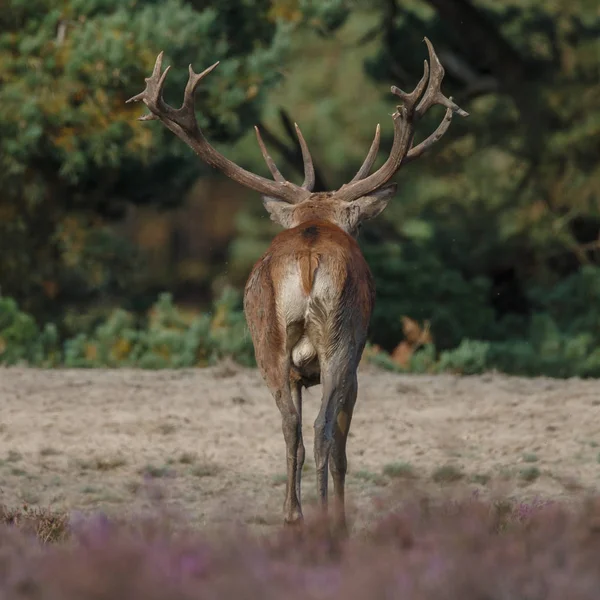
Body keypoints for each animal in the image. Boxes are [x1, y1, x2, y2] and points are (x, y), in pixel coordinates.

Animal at [127, 38, 468, 536]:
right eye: (359, 226)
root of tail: (307, 258)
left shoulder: (293, 370)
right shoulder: (353, 365)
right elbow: (340, 447)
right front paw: (339, 514)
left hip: (266, 339)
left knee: (290, 426)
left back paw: (292, 515)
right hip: (343, 340)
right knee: (324, 432)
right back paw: (328, 521)